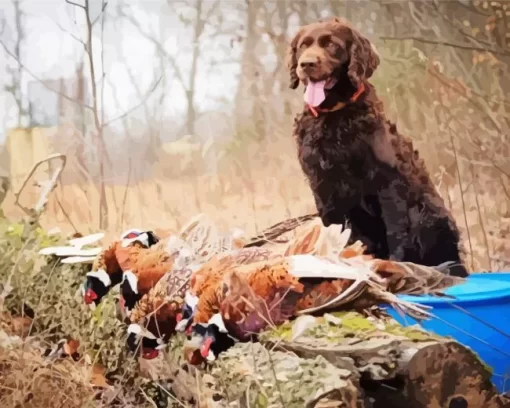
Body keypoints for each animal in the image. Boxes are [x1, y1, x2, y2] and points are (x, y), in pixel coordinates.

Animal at [284, 16, 468, 278]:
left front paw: (395, 265)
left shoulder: (387, 182)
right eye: (303, 46)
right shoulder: (322, 186)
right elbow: (333, 229)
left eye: (331, 44)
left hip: (427, 212)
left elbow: (395, 232)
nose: (306, 64)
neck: (334, 117)